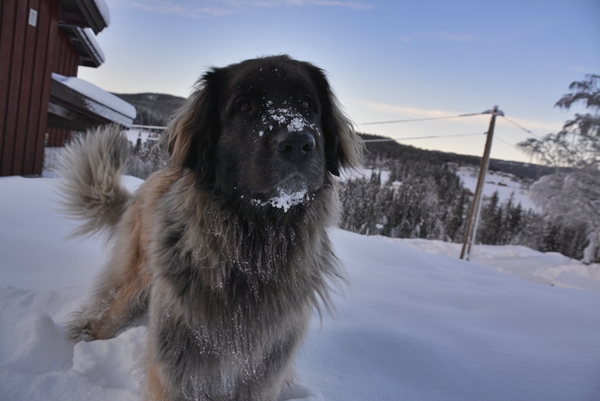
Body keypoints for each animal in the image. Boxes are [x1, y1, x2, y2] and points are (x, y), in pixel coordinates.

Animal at [59, 54, 360, 398]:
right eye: (244, 106)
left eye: (308, 105)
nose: (298, 142)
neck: (253, 251)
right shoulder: (177, 364)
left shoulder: (265, 368)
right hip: (133, 284)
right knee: (101, 317)